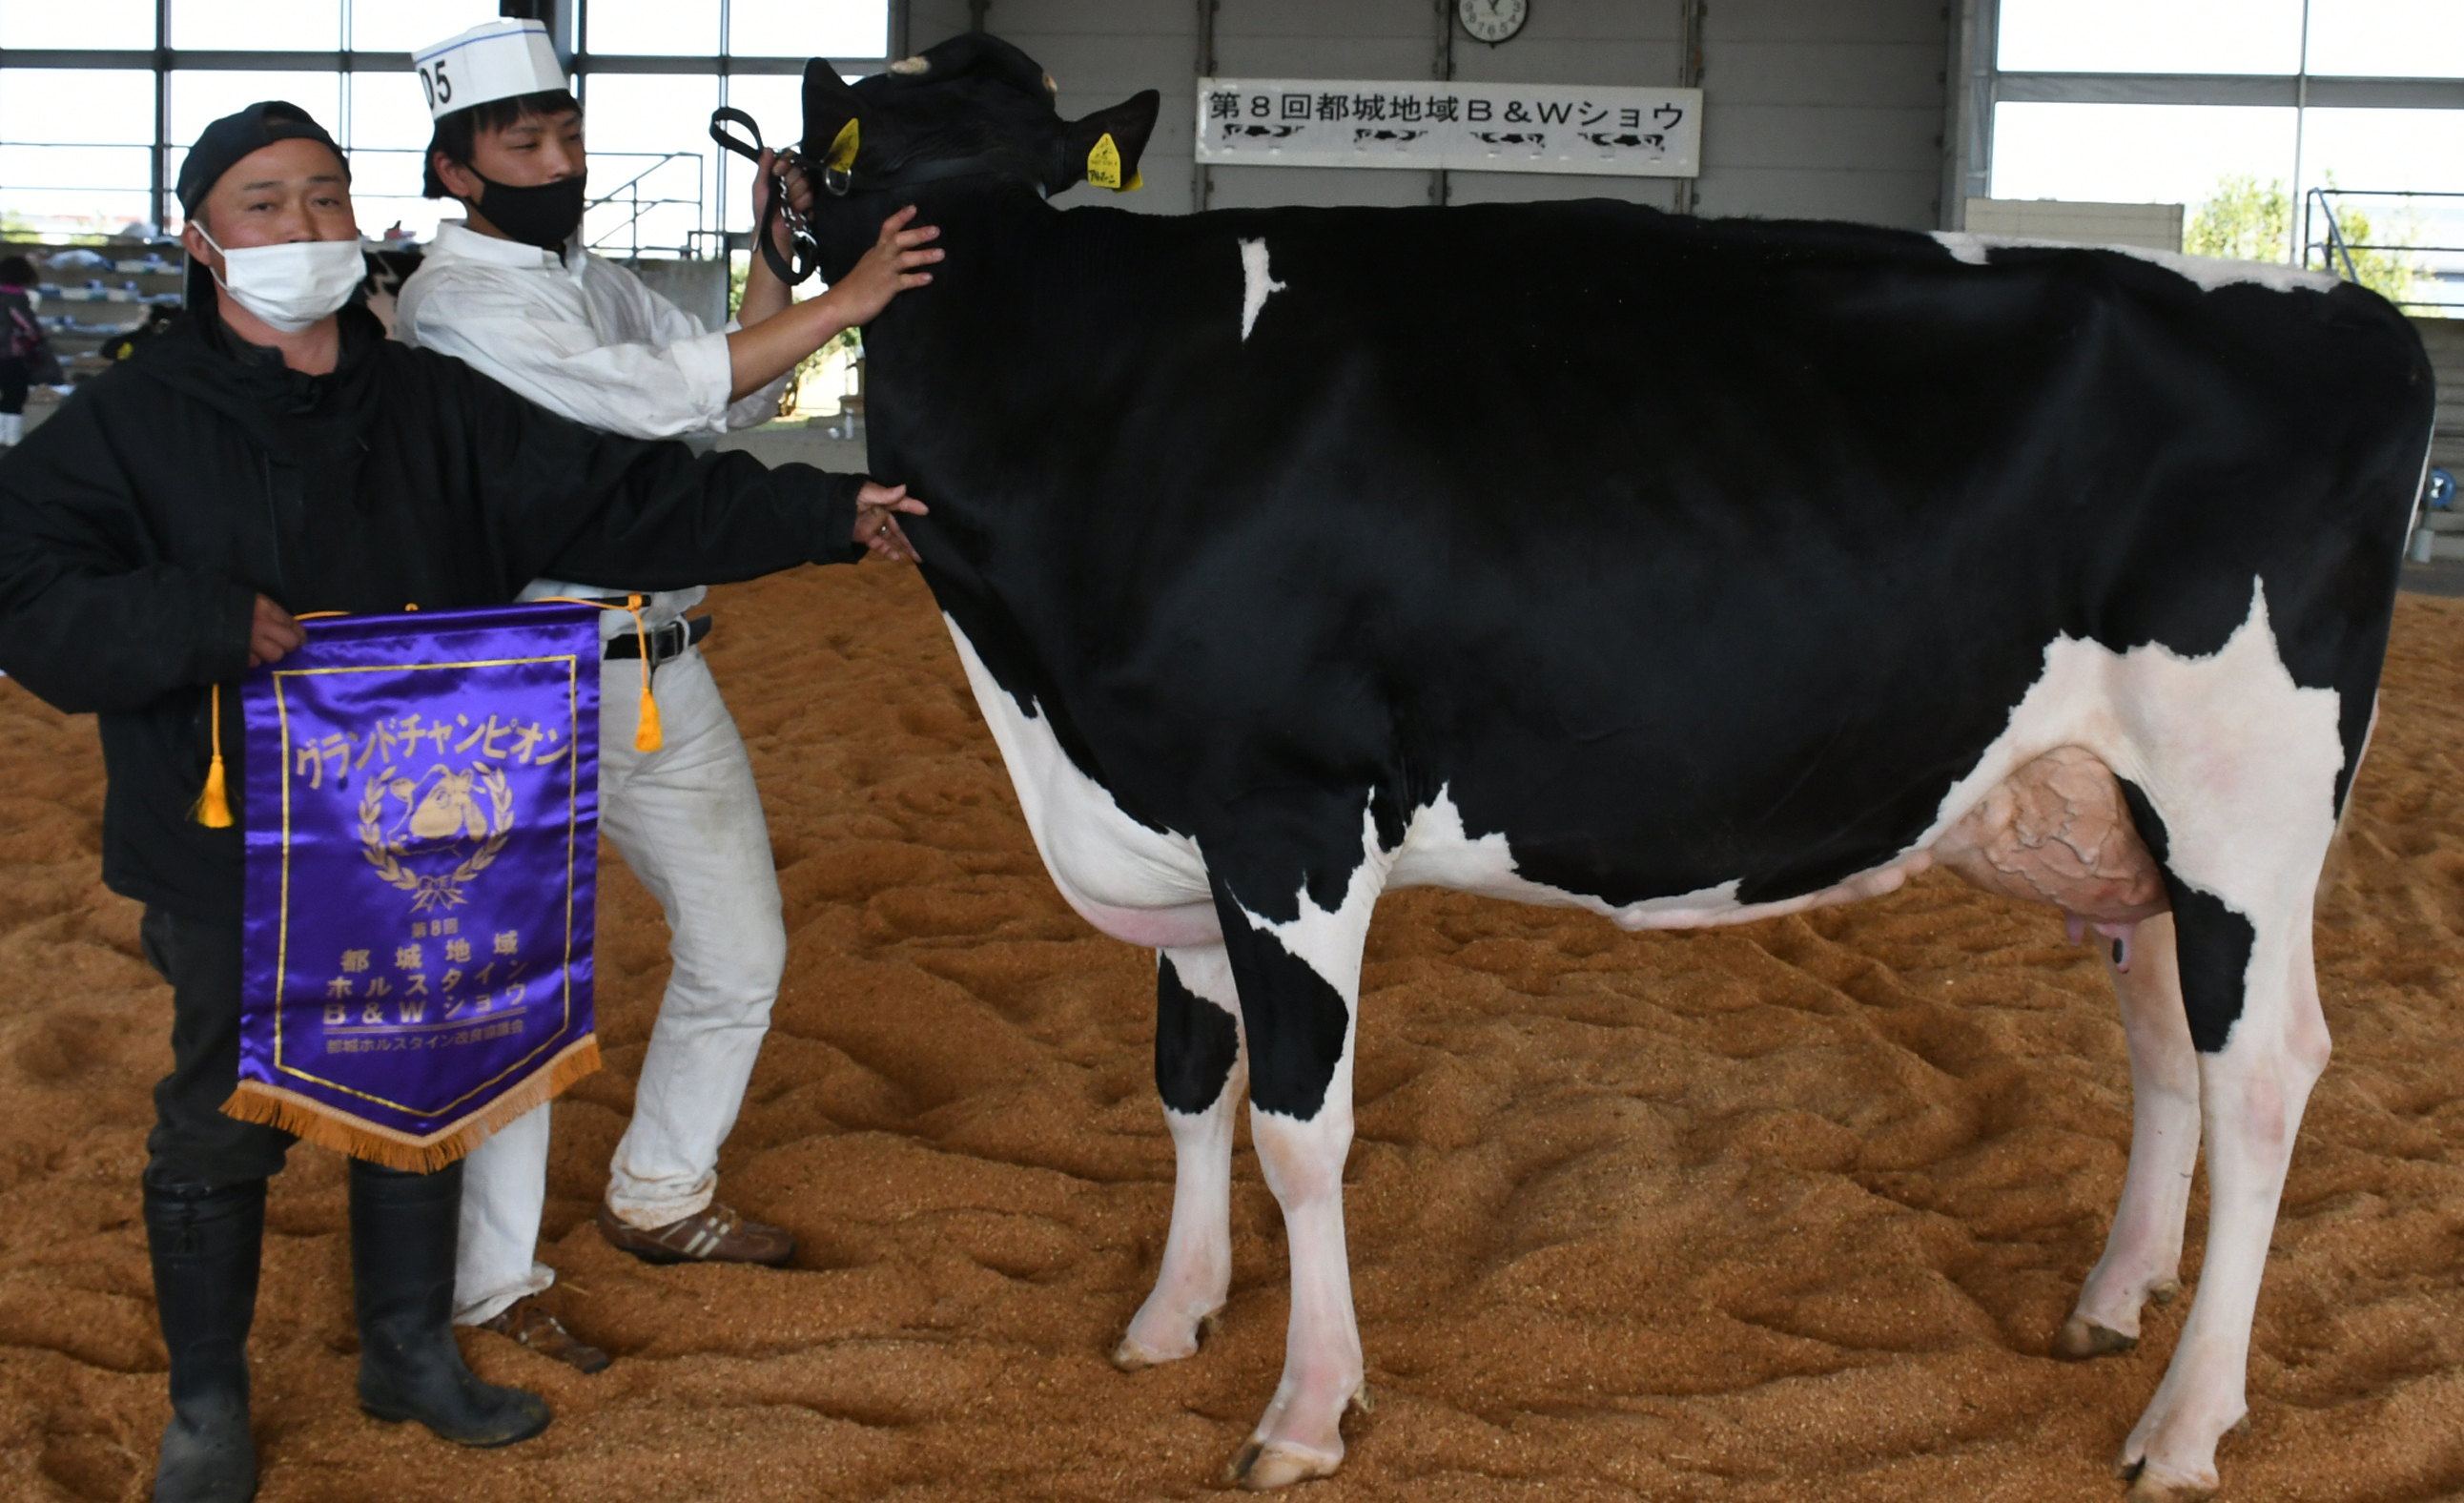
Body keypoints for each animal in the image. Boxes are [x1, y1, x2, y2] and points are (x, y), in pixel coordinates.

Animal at [778, 29, 2433, 1488]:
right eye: (865, 162)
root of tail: (2353, 309)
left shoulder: (1285, 816)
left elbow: (1301, 1127)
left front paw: (1307, 1409)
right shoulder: (1168, 817)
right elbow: (1191, 1083)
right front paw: (1170, 1316)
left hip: (2246, 806)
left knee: (2264, 1072)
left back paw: (2186, 1425)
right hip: (2124, 818)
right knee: (2166, 1042)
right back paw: (2111, 1304)